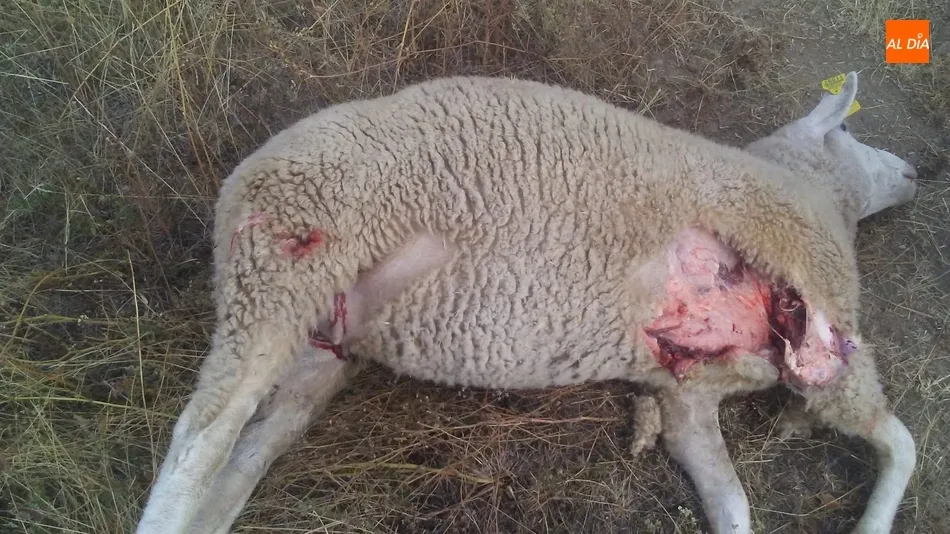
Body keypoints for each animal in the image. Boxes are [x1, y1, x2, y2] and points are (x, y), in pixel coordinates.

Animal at [135, 71, 919, 534]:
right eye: (851, 129)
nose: (917, 170)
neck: (818, 191)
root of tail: (243, 179)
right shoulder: (810, 273)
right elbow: (899, 439)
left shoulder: (687, 396)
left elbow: (732, 504)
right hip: (283, 270)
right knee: (200, 436)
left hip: (317, 344)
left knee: (251, 449)